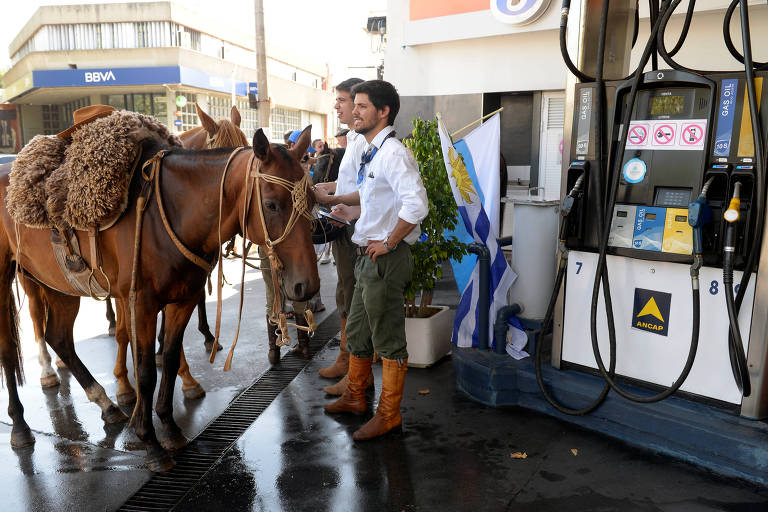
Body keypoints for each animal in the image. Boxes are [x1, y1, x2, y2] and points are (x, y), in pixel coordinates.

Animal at [0, 126, 318, 470]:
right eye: (271, 205)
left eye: (314, 199)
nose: (307, 285)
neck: (171, 214)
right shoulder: (141, 304)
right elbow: (145, 372)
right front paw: (150, 441)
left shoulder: (183, 301)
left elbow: (169, 356)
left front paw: (170, 428)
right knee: (10, 352)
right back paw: (20, 425)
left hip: (59, 286)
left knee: (58, 337)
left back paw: (106, 404)